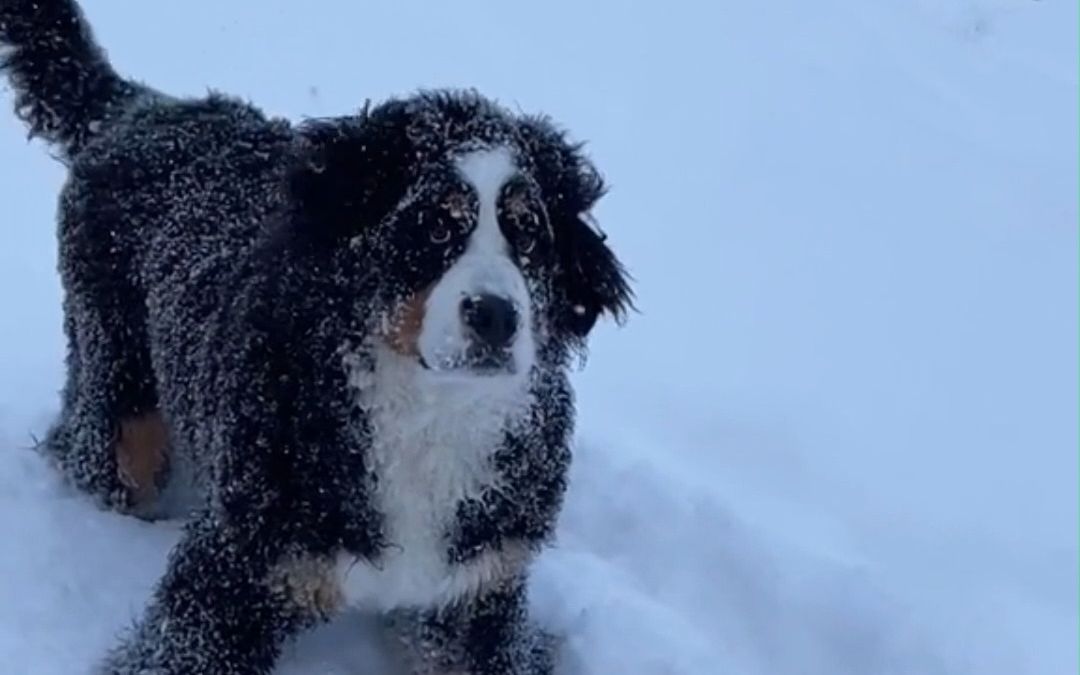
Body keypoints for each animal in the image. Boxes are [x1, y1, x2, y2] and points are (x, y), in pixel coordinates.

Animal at [0, 1, 630, 673]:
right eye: (433, 225)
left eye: (530, 232)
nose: (496, 316)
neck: (427, 417)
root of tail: (143, 107)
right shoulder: (233, 576)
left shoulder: (477, 588)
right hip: (117, 402)